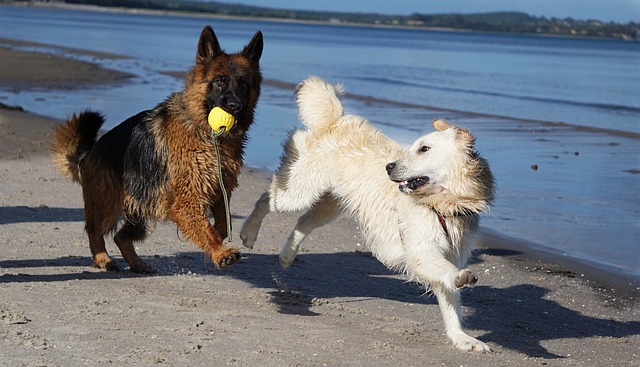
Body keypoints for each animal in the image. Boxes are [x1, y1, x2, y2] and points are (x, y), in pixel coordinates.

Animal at [51, 25, 264, 274]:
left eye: (243, 84)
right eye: (219, 81)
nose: (235, 107)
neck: (205, 131)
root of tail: (89, 152)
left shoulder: (220, 191)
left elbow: (219, 224)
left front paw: (216, 242)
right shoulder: (187, 200)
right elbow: (207, 229)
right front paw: (221, 252)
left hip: (143, 209)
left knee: (121, 237)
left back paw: (137, 264)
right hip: (108, 205)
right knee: (95, 231)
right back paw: (103, 258)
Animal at [240, 76, 496, 352]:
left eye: (424, 149)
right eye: (414, 148)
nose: (389, 167)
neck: (443, 204)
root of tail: (335, 119)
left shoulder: (452, 250)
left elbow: (450, 300)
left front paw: (462, 338)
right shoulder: (420, 250)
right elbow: (446, 272)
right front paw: (461, 277)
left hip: (331, 204)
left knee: (303, 222)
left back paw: (287, 255)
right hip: (299, 191)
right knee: (267, 198)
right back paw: (248, 232)